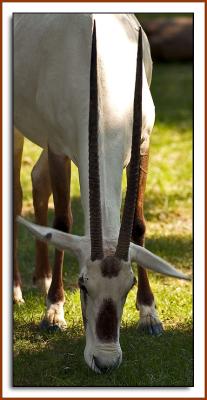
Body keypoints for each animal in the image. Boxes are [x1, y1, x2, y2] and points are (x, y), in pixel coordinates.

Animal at [13, 13, 190, 376]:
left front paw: (150, 314)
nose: (105, 361)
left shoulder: (143, 143)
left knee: (36, 180)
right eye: (83, 283)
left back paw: (42, 278)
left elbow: (137, 224)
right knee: (17, 189)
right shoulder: (58, 147)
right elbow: (63, 221)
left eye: (129, 284)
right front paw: (54, 312)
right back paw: (16, 291)